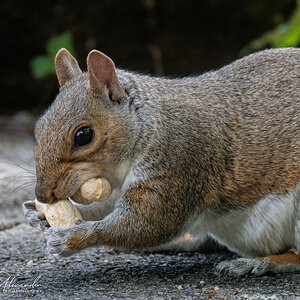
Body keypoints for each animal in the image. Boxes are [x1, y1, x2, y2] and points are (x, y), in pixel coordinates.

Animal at [24, 47, 300, 276]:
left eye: (83, 135)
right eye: (39, 127)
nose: (43, 194)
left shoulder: (179, 161)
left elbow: (148, 222)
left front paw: (72, 237)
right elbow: (106, 208)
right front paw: (38, 215)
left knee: (296, 256)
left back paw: (260, 263)